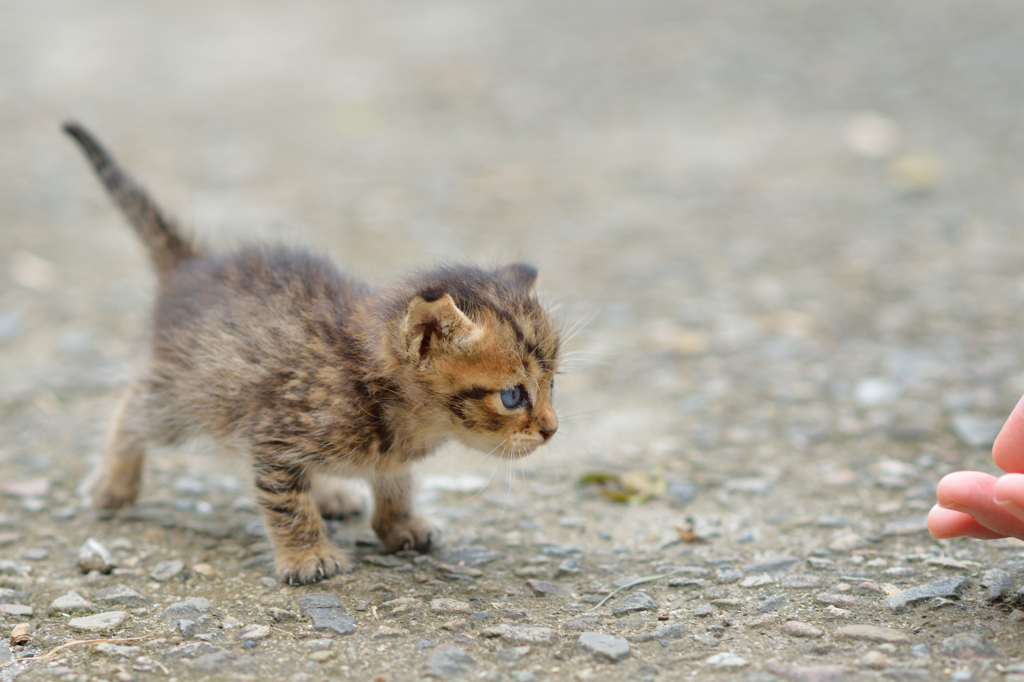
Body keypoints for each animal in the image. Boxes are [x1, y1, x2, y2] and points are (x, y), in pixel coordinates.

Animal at [66, 123, 561, 585]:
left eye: (552, 385)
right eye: (513, 396)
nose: (552, 430)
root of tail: (192, 266)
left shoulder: (377, 452)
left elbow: (395, 479)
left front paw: (399, 523)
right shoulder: (275, 431)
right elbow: (286, 503)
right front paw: (307, 555)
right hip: (189, 393)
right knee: (134, 407)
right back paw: (114, 483)